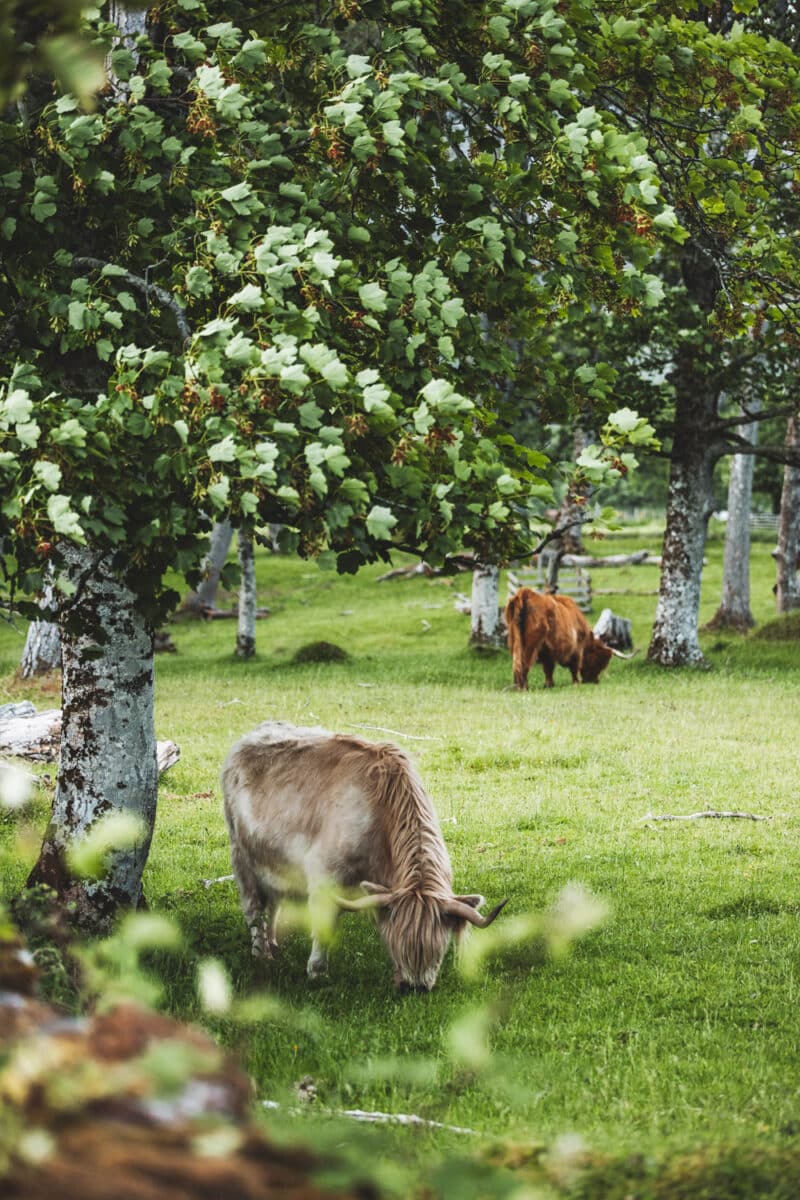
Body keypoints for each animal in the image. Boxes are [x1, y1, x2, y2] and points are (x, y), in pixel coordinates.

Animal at [219, 720, 506, 993]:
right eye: (397, 945)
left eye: (438, 950)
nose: (414, 988)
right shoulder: (324, 876)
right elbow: (324, 924)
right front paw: (317, 971)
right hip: (242, 855)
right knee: (254, 906)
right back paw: (261, 954)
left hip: (274, 861)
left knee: (273, 902)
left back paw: (274, 945)